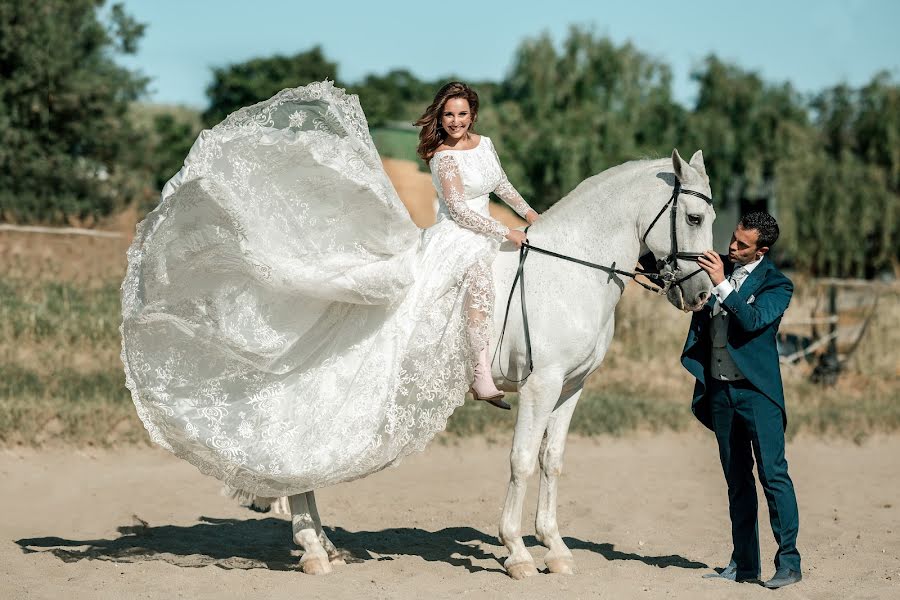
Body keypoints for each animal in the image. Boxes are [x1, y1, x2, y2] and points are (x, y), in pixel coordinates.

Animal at [250, 149, 712, 576]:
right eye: (693, 218)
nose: (702, 295)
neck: (571, 271)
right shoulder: (540, 385)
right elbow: (521, 460)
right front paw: (518, 552)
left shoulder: (570, 387)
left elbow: (552, 461)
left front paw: (556, 550)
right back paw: (312, 549)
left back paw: (324, 547)